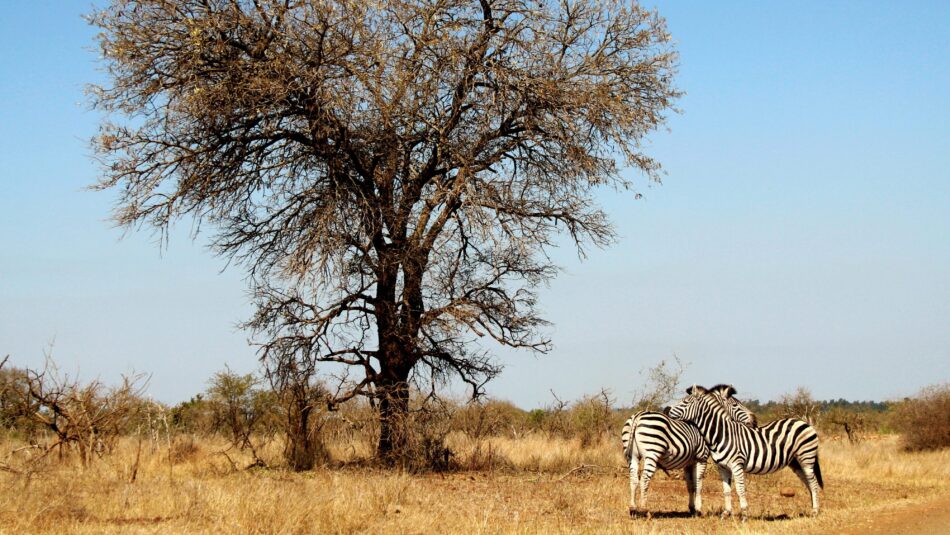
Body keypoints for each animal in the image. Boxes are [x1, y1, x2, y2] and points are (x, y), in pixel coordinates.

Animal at [621, 384, 757, 517]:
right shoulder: (701, 458)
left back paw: (633, 509)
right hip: (652, 453)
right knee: (644, 479)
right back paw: (645, 510)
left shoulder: (688, 463)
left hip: (633, 456)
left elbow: (690, 486)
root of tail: (638, 416)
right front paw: (699, 509)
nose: (754, 420)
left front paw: (692, 508)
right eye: (735, 405)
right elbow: (698, 484)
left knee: (633, 479)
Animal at [667, 384, 824, 519]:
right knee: (809, 483)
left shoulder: (736, 465)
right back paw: (812, 508)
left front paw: (744, 514)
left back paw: (815, 512)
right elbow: (726, 490)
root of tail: (804, 423)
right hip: (796, 462)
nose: (666, 410)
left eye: (685, 402)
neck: (722, 434)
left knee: (813, 483)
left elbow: (740, 489)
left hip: (806, 457)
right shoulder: (722, 467)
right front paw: (726, 513)